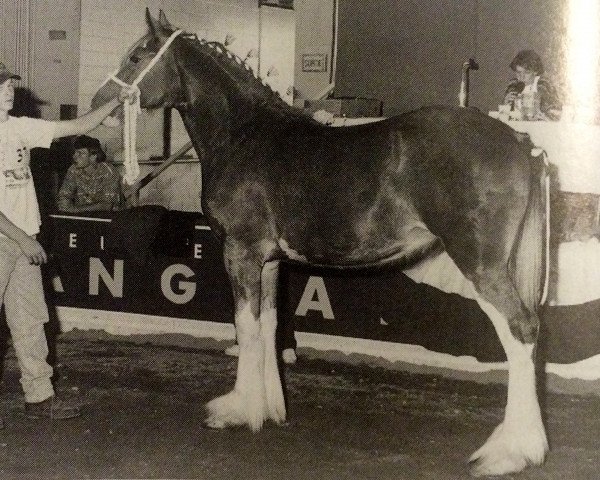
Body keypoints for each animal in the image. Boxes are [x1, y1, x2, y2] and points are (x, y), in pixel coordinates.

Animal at [92, 11, 548, 476]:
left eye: (136, 56)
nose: (101, 102)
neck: (244, 135)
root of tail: (519, 142)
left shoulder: (240, 252)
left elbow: (245, 326)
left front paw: (236, 410)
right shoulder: (270, 261)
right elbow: (268, 325)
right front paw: (269, 408)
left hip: (481, 264)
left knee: (520, 330)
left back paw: (509, 452)